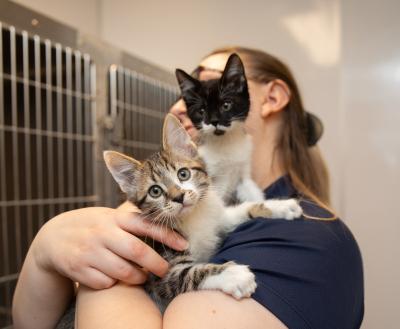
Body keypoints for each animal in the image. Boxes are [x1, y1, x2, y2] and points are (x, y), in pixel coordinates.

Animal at [104, 113, 302, 310]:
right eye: (155, 191)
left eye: (183, 174)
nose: (179, 197)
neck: (193, 216)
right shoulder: (161, 271)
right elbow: (189, 274)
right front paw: (233, 275)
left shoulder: (217, 218)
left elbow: (239, 211)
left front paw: (280, 206)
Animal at [177, 52, 264, 204]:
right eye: (201, 111)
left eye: (226, 105)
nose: (214, 121)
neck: (225, 142)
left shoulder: (243, 172)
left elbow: (253, 193)